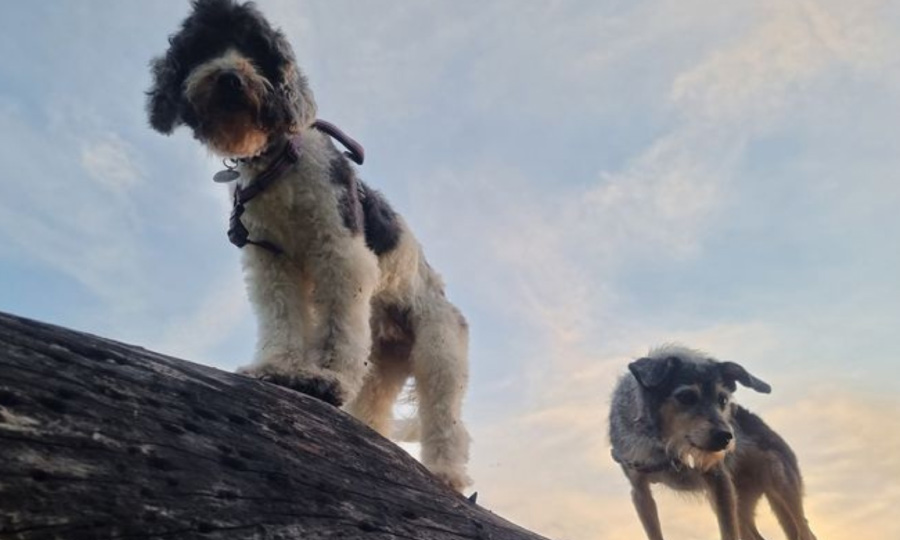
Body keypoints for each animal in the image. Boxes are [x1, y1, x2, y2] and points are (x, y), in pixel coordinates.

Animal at [146, 0, 472, 490]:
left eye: (257, 49)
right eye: (202, 46)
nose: (229, 77)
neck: (279, 160)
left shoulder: (339, 252)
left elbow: (338, 326)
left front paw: (326, 378)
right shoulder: (272, 261)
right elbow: (283, 317)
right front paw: (279, 366)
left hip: (439, 351)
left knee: (445, 417)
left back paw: (447, 473)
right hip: (385, 359)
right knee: (373, 401)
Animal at [612, 346, 816, 540]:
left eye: (723, 399)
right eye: (686, 397)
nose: (726, 437)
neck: (665, 447)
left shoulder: (719, 480)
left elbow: (728, 533)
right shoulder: (640, 492)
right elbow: (654, 532)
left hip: (781, 486)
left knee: (805, 530)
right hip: (739, 502)